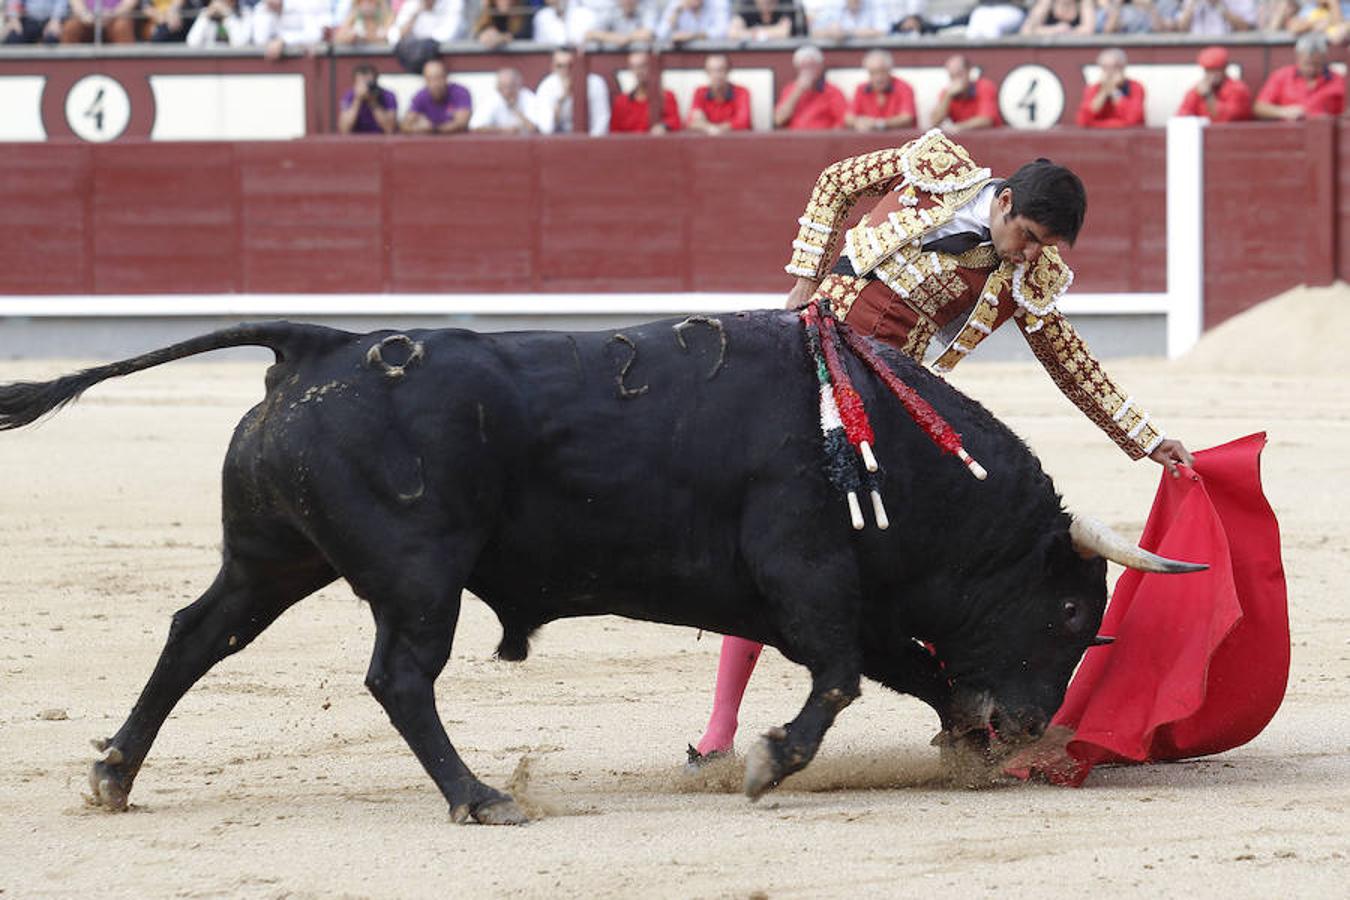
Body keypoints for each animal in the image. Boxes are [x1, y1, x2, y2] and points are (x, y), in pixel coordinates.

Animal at [0, 313, 1204, 825]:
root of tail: (319, 346)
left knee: (196, 635)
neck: (882, 443)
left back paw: (113, 775)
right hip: (419, 575)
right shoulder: (806, 569)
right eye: (1068, 609)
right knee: (400, 678)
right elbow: (841, 678)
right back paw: (482, 798)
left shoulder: (826, 597)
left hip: (272, 557)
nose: (1031, 726)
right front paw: (767, 764)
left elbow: (902, 665)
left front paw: (959, 739)